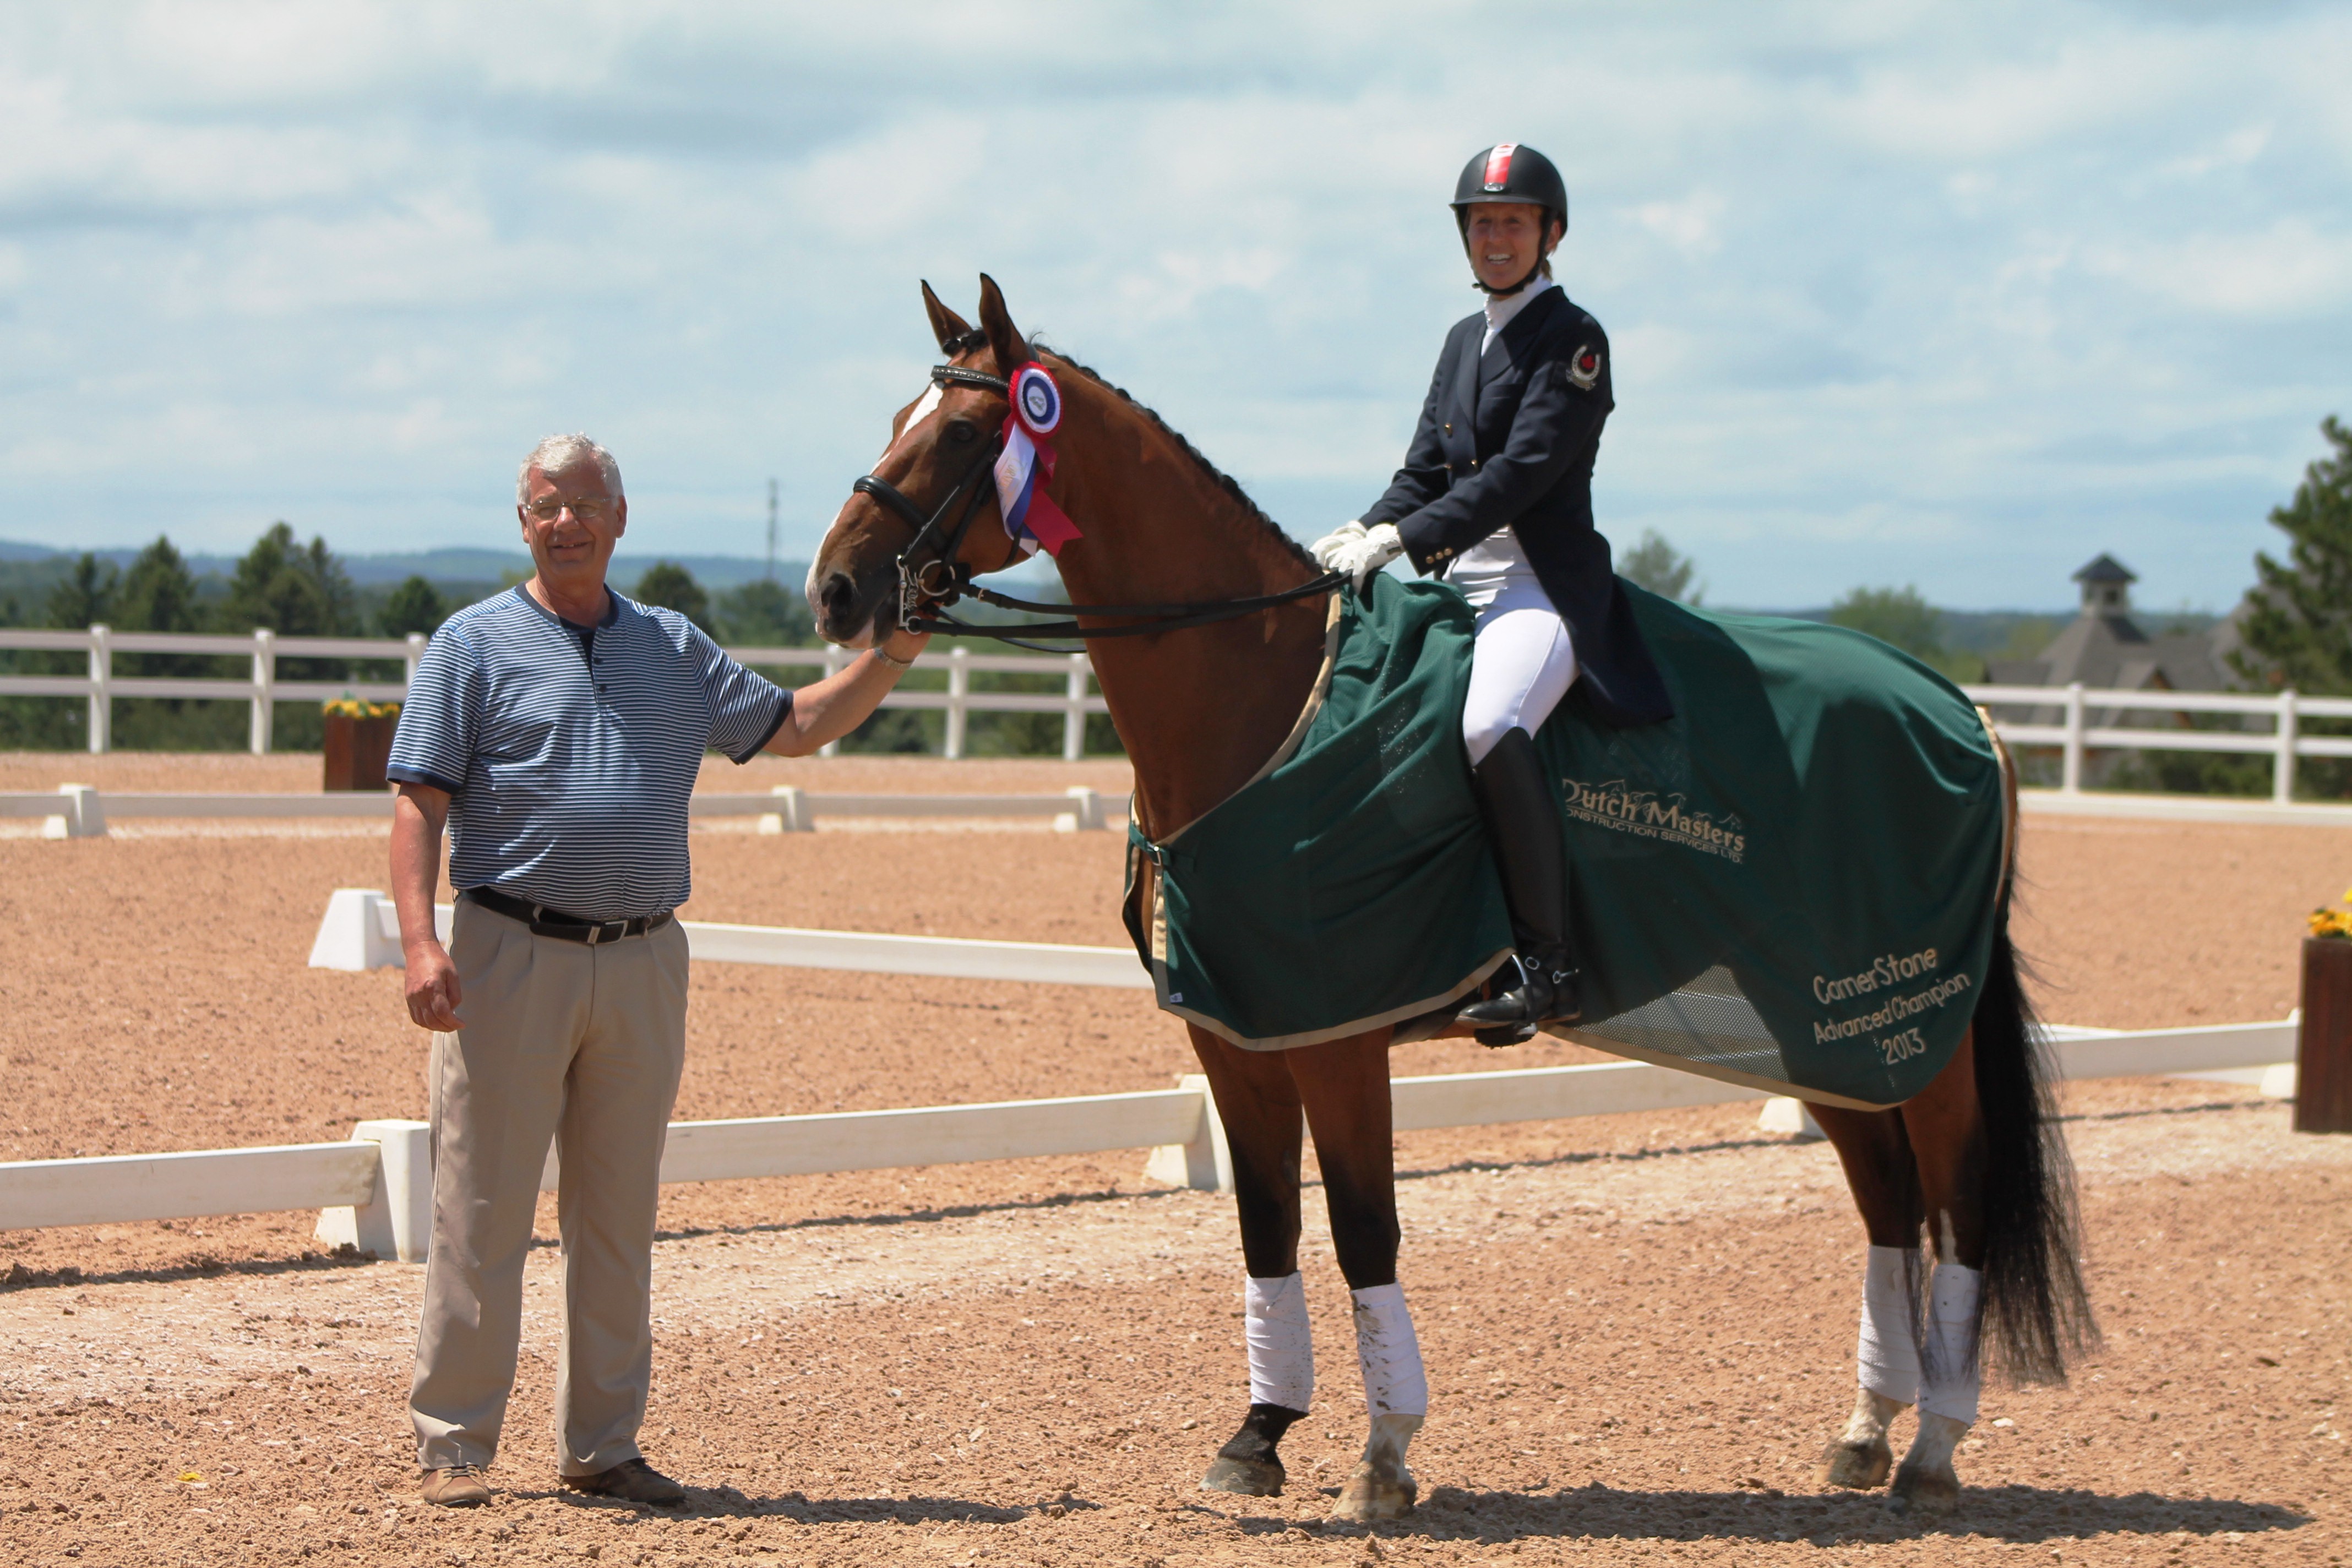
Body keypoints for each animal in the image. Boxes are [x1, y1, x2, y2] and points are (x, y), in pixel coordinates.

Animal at [809, 278, 2098, 1523]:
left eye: (965, 430)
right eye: (896, 418)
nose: (834, 592)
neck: (1269, 696)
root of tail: (1962, 708)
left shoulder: (1337, 1031)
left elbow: (1361, 1225)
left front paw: (1382, 1455)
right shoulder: (1238, 1028)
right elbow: (1266, 1222)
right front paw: (1256, 1437)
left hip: (1911, 1026)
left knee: (1958, 1195)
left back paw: (1932, 1447)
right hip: (1820, 1023)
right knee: (1886, 1196)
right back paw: (1866, 1431)